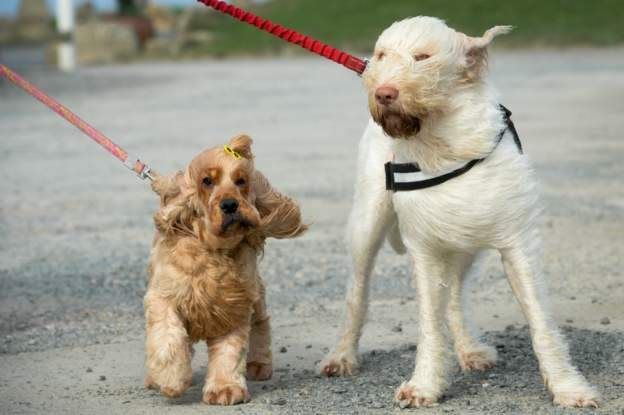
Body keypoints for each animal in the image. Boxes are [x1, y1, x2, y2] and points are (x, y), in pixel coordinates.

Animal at [142, 136, 308, 406]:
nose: (230, 204)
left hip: (256, 294)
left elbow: (229, 352)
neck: (214, 250)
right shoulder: (162, 297)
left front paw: (225, 389)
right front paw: (171, 380)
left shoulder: (234, 305)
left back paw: (259, 365)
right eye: (207, 181)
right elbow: (168, 337)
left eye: (241, 181)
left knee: (262, 322)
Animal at [320, 17, 596, 410]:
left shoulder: (518, 244)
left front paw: (568, 388)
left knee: (453, 297)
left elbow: (540, 320)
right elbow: (429, 324)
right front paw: (424, 385)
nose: (384, 93)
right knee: (357, 293)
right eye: (381, 55)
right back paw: (341, 356)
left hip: (465, 247)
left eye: (422, 57)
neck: (445, 143)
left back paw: (469, 350)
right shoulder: (424, 250)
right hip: (367, 224)